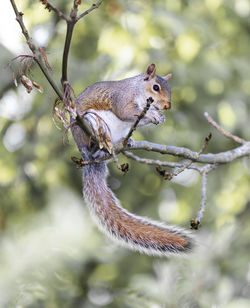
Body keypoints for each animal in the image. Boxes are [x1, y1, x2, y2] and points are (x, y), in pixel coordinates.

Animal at [74, 63, 193, 256]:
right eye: (156, 87)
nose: (167, 106)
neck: (137, 91)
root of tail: (87, 157)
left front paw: (158, 117)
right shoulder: (121, 98)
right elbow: (126, 112)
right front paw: (152, 115)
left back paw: (127, 141)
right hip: (88, 127)